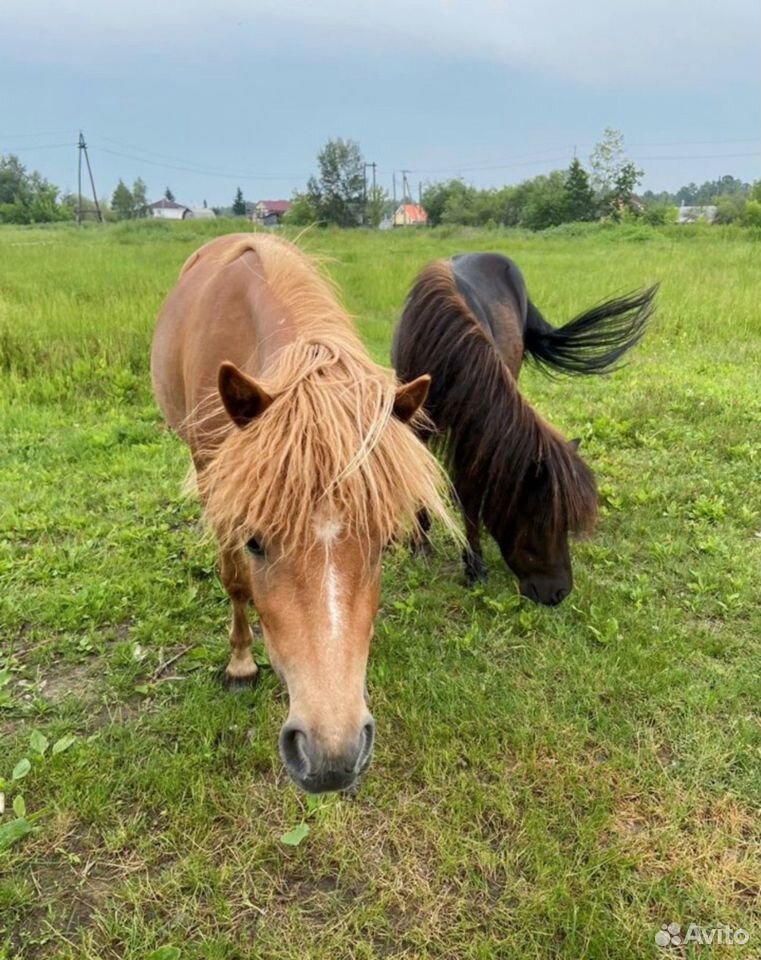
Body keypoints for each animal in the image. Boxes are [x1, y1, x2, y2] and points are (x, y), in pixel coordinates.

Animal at [151, 234, 454, 796]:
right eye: (254, 541)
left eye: (384, 543)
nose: (332, 756)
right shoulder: (216, 477)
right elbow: (235, 580)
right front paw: (241, 663)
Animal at [392, 251, 652, 604]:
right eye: (540, 521)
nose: (558, 593)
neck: (442, 352)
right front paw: (420, 545)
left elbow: (469, 492)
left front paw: (473, 564)